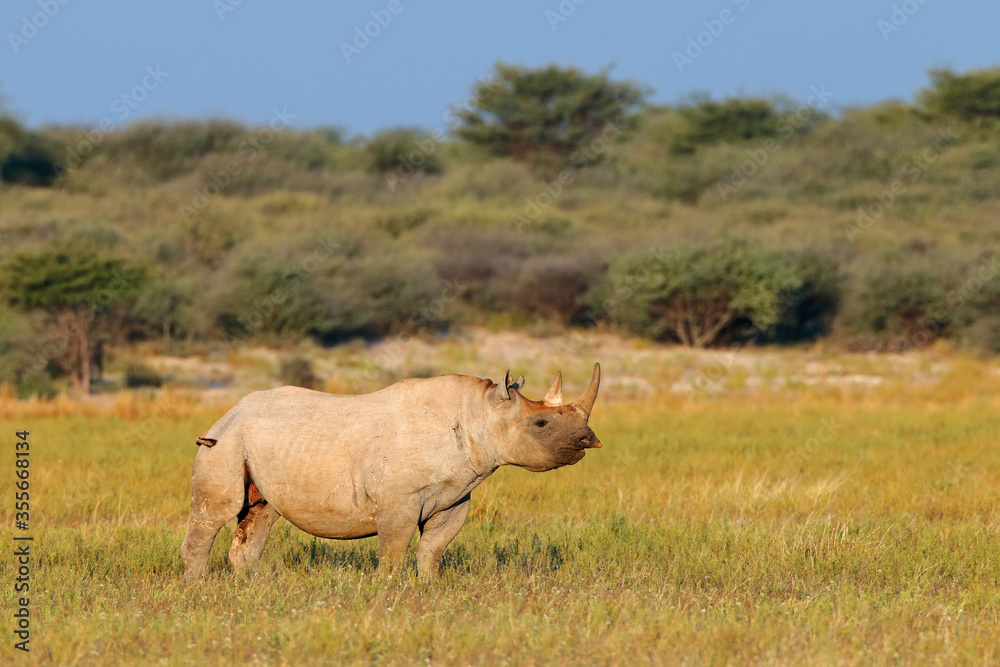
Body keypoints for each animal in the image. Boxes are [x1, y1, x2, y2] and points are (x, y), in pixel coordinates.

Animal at [180, 363, 602, 580]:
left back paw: (250, 588)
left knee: (261, 513)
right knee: (216, 513)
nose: (589, 439)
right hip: (226, 440)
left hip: (261, 442)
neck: (480, 414)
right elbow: (394, 551)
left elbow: (433, 549)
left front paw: (429, 590)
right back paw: (198, 590)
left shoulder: (456, 496)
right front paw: (390, 595)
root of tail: (229, 411)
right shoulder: (399, 501)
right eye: (541, 424)